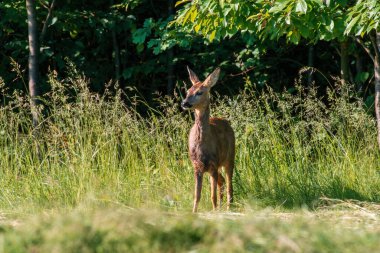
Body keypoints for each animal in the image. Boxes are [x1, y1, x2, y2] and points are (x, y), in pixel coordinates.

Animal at [181, 66, 235, 212]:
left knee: (229, 186)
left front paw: (215, 211)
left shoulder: (213, 164)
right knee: (222, 183)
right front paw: (194, 212)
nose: (184, 103)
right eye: (187, 91)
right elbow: (197, 196)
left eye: (199, 92)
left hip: (229, 158)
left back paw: (228, 209)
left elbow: (212, 196)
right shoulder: (197, 166)